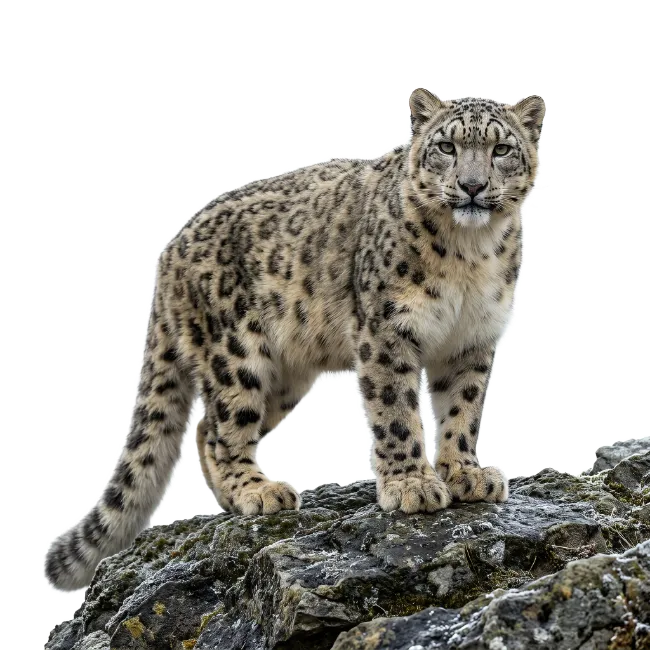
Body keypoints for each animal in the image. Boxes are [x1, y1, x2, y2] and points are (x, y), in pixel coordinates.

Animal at [43, 89, 545, 591]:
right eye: (446, 147)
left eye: (502, 149)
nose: (472, 186)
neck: (470, 254)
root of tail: (169, 252)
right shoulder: (387, 330)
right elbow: (397, 411)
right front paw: (412, 485)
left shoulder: (472, 339)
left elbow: (464, 409)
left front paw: (466, 474)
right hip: (238, 354)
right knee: (223, 429)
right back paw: (258, 492)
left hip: (286, 378)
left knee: (205, 428)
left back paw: (236, 497)